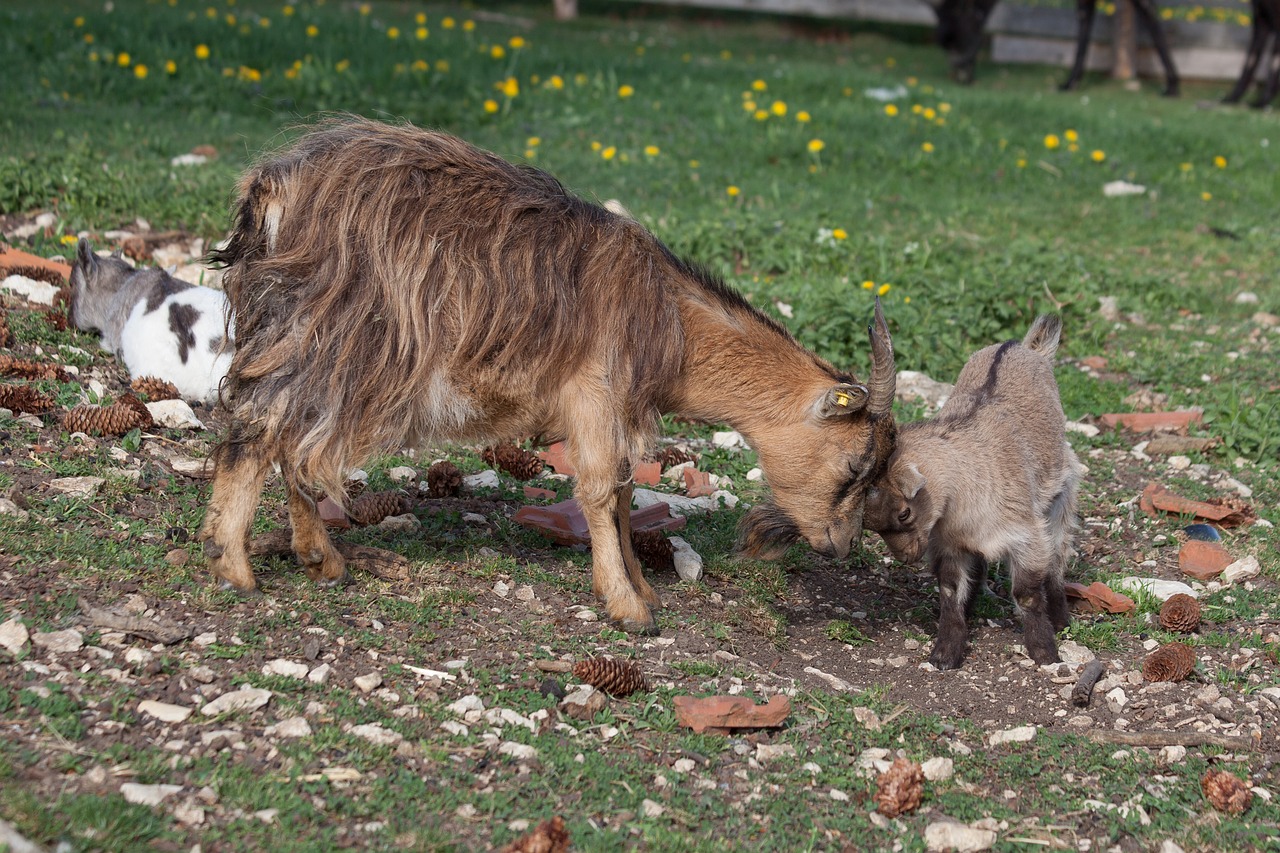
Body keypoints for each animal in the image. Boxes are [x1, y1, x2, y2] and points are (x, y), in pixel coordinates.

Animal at [202, 114, 901, 630]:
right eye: (855, 466)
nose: (840, 546)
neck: (669, 321)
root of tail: (274, 187)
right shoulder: (594, 390)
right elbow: (598, 488)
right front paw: (627, 607)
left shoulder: (615, 409)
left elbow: (624, 491)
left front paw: (643, 587)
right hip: (331, 341)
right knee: (261, 434)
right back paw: (235, 569)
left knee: (292, 443)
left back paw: (320, 559)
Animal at [860, 315, 1080, 666]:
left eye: (904, 512)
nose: (906, 556)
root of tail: (1024, 347)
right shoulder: (947, 542)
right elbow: (950, 591)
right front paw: (945, 653)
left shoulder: (1026, 535)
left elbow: (1027, 594)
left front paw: (1045, 651)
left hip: (1064, 490)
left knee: (1059, 554)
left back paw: (1060, 619)